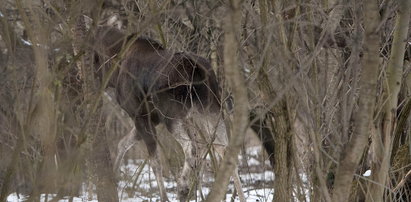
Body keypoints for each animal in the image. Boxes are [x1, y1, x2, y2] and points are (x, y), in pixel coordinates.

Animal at [93, 26, 245, 201]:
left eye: (93, 57)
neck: (115, 68)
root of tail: (195, 68)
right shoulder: (152, 118)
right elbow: (123, 143)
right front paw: (114, 178)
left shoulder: (140, 115)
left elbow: (154, 162)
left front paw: (164, 196)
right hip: (209, 110)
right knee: (224, 151)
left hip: (172, 115)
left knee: (192, 148)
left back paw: (183, 187)